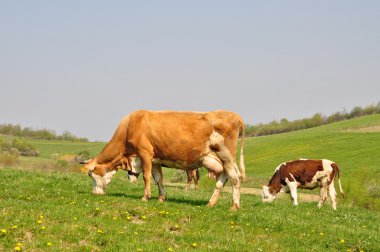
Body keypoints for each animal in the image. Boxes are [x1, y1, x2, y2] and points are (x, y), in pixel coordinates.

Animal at [81, 110, 245, 211]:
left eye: (92, 175)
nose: (95, 193)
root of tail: (234, 115)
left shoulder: (145, 153)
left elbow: (147, 177)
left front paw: (145, 197)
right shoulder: (155, 160)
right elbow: (158, 178)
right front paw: (161, 198)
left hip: (226, 155)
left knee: (235, 178)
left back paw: (234, 206)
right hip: (222, 159)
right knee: (223, 179)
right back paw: (211, 202)